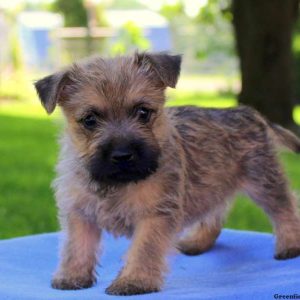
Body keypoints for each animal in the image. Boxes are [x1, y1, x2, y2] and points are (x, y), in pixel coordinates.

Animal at [34, 52, 300, 296]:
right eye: (89, 120)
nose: (122, 155)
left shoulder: (155, 213)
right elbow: (76, 247)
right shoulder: (79, 213)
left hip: (263, 179)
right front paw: (72, 276)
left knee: (285, 207)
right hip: (214, 181)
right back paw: (197, 242)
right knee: (215, 211)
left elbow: (144, 249)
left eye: (143, 112)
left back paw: (290, 245)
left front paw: (134, 281)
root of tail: (250, 114)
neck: (116, 183)